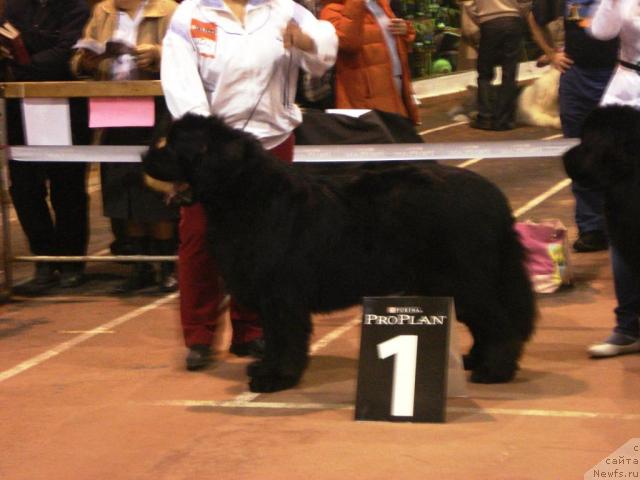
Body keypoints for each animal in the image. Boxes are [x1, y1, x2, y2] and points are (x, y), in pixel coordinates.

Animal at [144, 114, 536, 392]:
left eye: (172, 146)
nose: (145, 155)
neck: (245, 195)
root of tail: (494, 197)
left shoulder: (280, 294)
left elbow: (285, 337)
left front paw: (276, 378)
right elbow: (273, 338)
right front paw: (266, 368)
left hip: (462, 277)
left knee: (499, 323)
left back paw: (494, 371)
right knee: (485, 323)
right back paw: (474, 360)